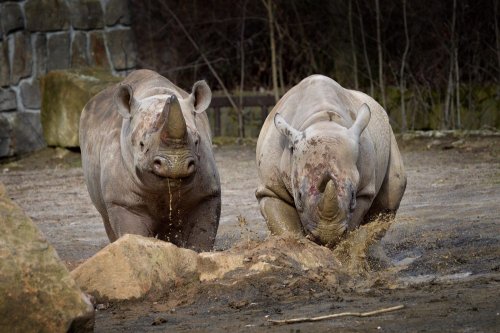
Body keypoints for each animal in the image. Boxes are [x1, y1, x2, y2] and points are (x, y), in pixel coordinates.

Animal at [80, 70, 221, 252]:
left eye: (197, 141)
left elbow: (200, 238)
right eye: (141, 144)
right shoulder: (124, 202)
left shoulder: (207, 194)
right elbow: (133, 234)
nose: (175, 165)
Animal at [256, 75, 404, 246]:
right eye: (298, 196)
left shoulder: (363, 191)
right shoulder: (270, 189)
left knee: (394, 190)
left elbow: (352, 223)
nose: (327, 234)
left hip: (389, 132)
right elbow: (286, 228)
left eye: (353, 195)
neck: (323, 123)